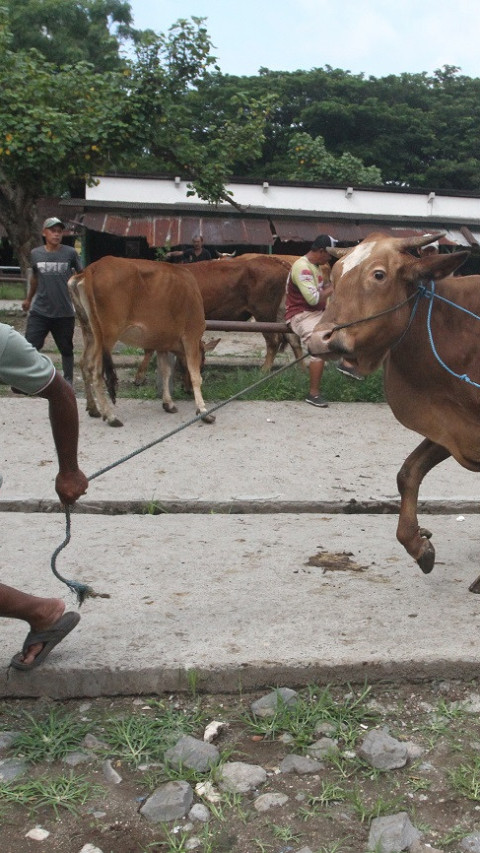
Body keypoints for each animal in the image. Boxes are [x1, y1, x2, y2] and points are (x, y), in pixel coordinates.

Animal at [69, 253, 214, 426]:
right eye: (203, 361)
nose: (187, 390)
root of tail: (91, 269)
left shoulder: (161, 343)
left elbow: (165, 372)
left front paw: (168, 403)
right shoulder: (191, 335)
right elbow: (195, 376)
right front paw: (203, 410)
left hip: (89, 332)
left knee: (83, 364)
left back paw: (93, 408)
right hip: (107, 336)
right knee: (95, 371)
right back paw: (111, 416)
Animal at [133, 255, 302, 384]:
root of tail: (276, 260)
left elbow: (150, 348)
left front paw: (139, 377)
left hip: (264, 313)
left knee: (274, 340)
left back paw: (264, 371)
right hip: (281, 312)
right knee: (292, 338)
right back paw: (302, 368)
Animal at [308, 231, 476, 580]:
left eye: (379, 275)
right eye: (335, 274)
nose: (319, 339)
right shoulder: (452, 428)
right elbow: (408, 473)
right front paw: (418, 545)